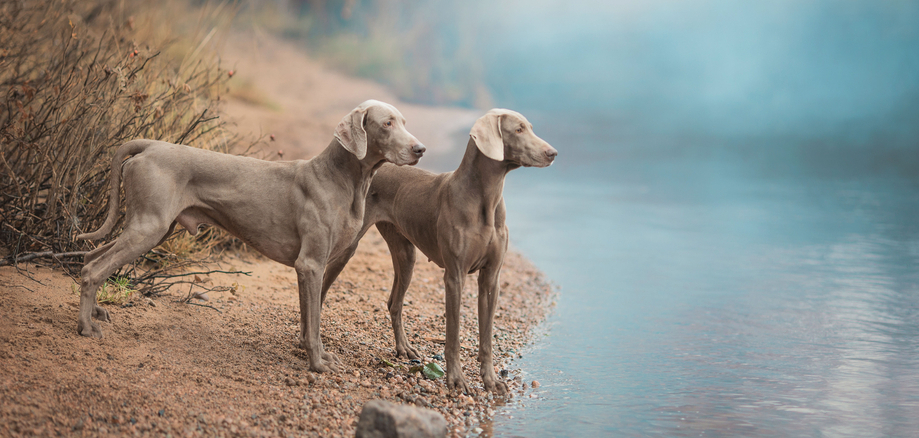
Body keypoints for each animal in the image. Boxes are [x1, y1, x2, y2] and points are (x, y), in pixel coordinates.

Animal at [79, 100, 424, 372]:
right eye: (387, 123)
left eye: (405, 122)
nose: (420, 149)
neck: (342, 178)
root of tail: (151, 145)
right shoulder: (311, 264)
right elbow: (314, 323)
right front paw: (317, 364)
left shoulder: (311, 268)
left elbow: (308, 319)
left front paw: (317, 354)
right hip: (149, 227)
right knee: (94, 268)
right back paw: (85, 326)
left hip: (152, 226)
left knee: (90, 257)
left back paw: (95, 311)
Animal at [320, 109, 556, 394]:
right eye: (519, 129)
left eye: (530, 127)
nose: (553, 153)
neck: (486, 200)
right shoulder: (455, 276)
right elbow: (452, 335)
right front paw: (456, 380)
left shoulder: (491, 278)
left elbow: (487, 337)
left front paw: (490, 380)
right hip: (347, 248)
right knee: (321, 288)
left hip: (406, 254)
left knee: (394, 302)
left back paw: (403, 348)